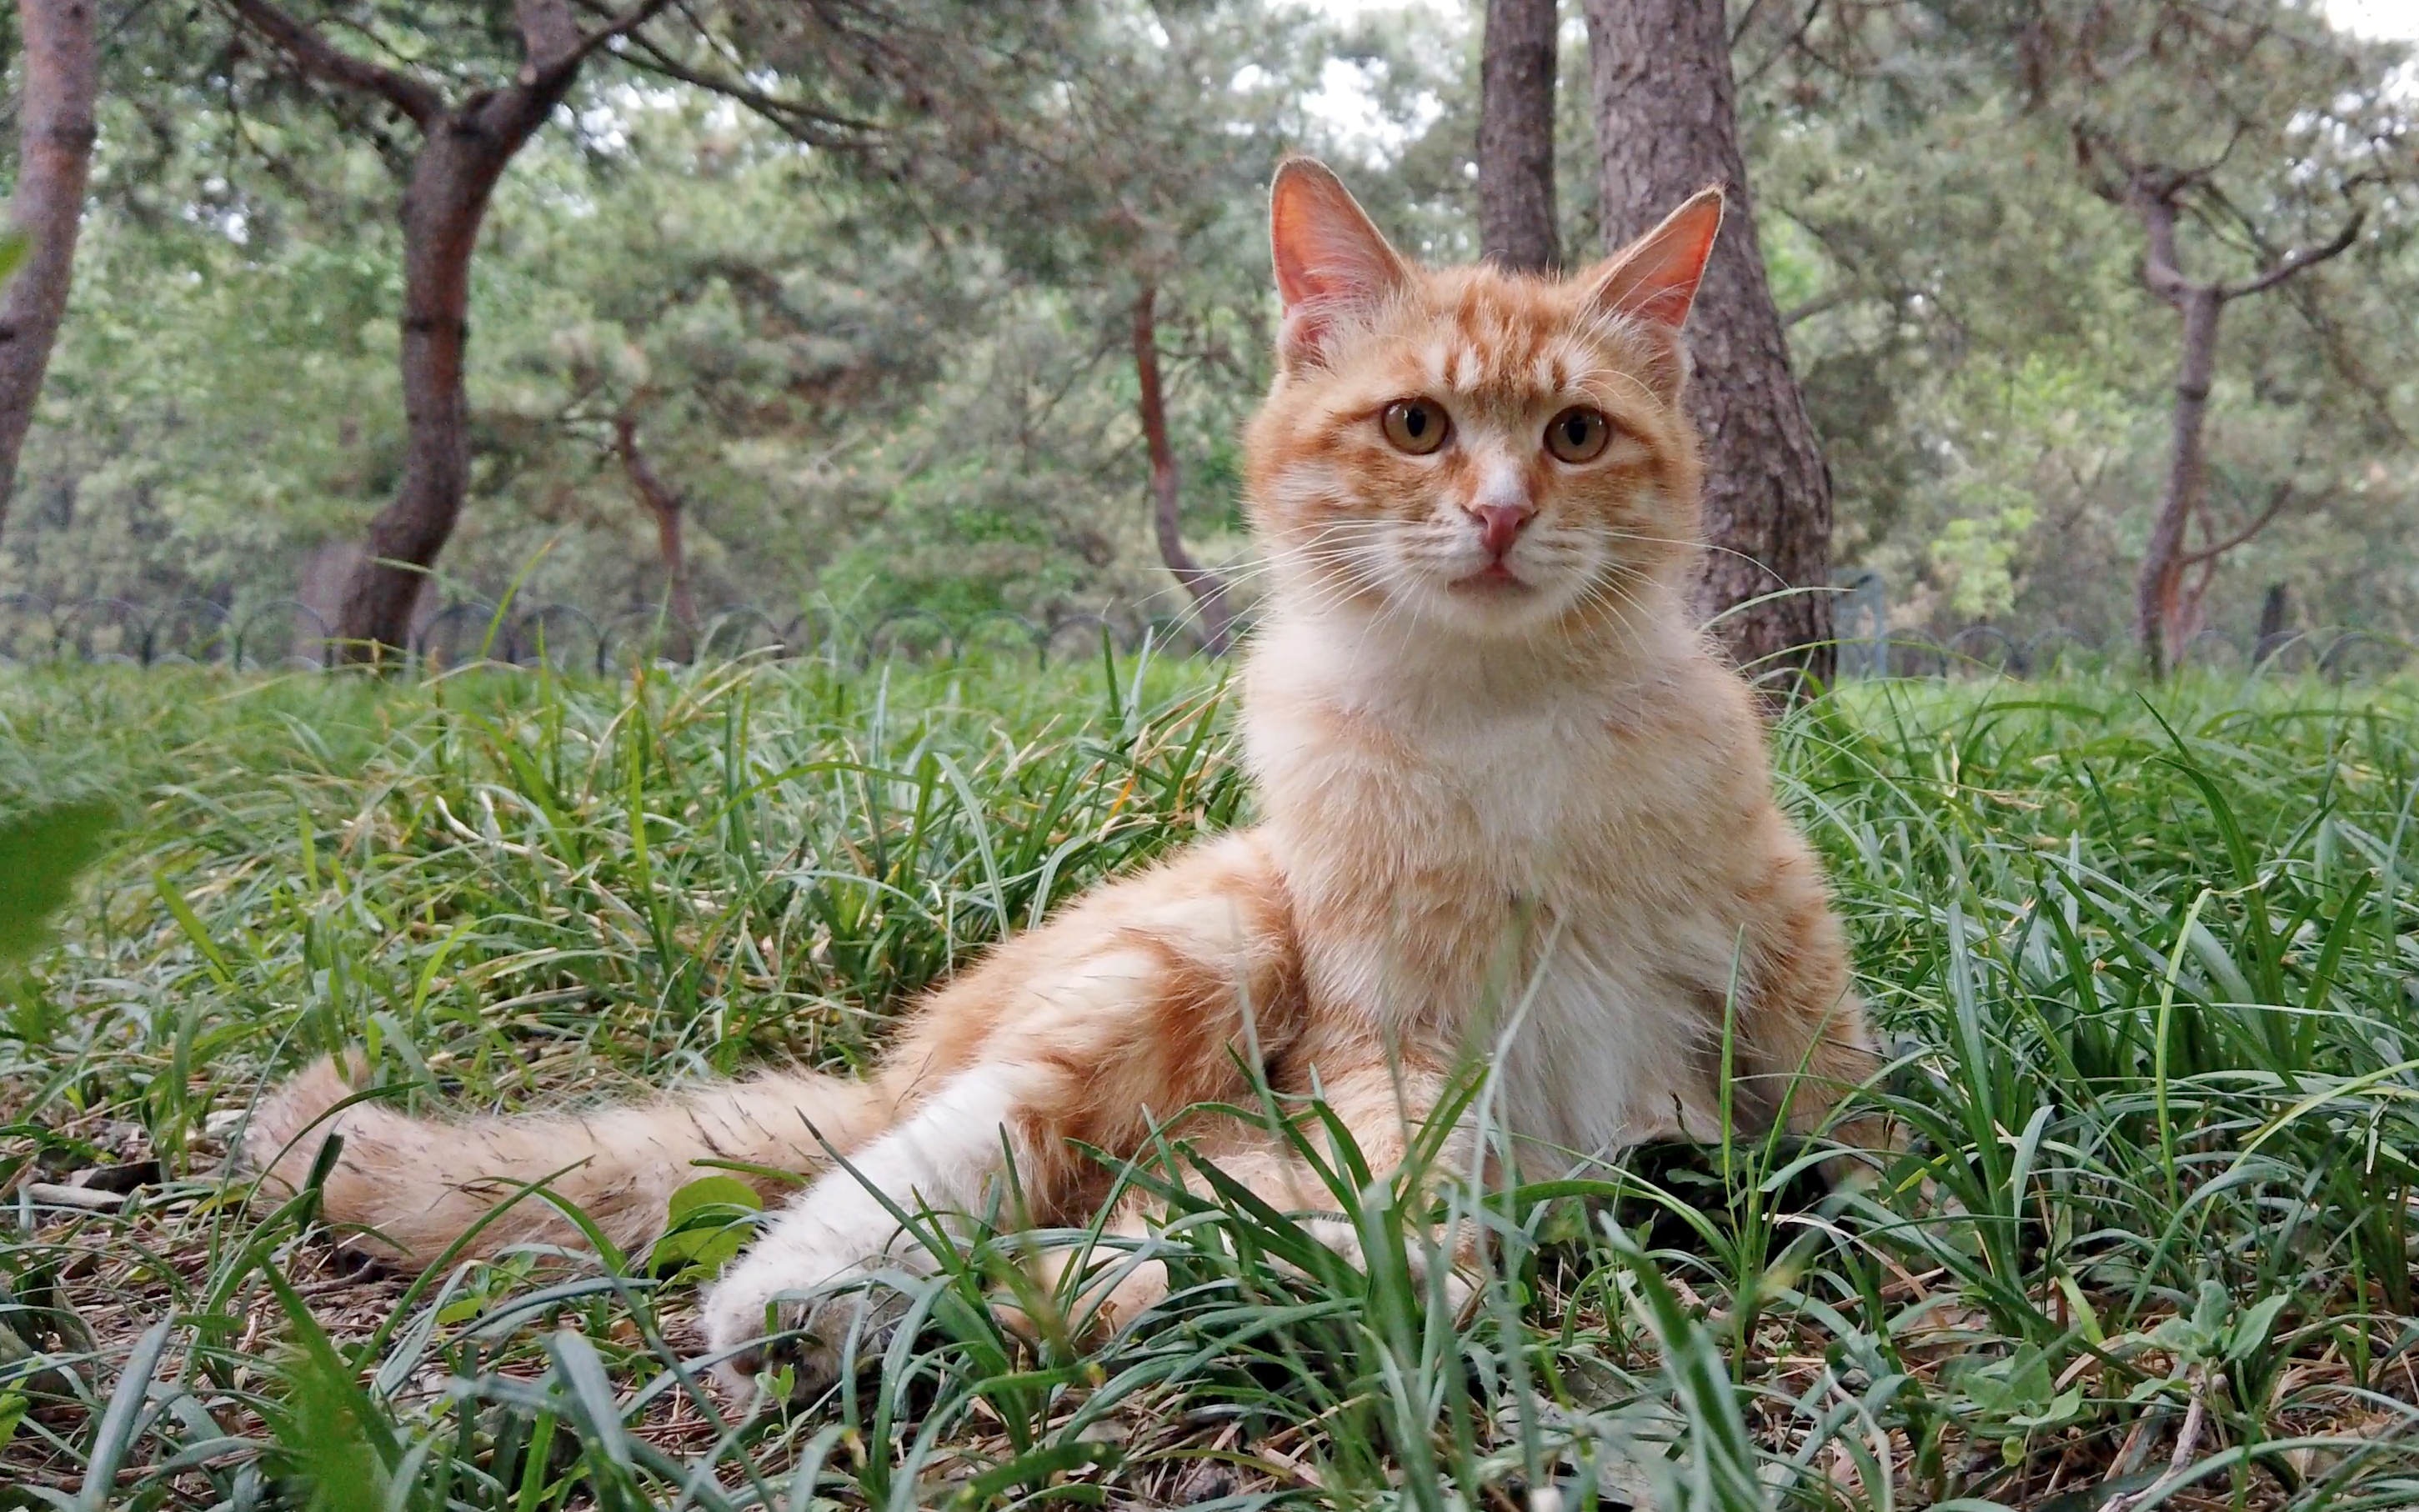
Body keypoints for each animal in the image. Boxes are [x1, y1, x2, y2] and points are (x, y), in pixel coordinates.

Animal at [250, 156, 1867, 1393]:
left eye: (1576, 433)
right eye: (1417, 424)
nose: (1501, 514)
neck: (1497, 725)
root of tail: (894, 1064)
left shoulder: (1778, 943)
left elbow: (1845, 1112)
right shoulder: (1389, 1036)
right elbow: (1399, 1198)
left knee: (1130, 1247)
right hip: (1200, 948)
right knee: (948, 1180)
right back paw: (819, 1307)